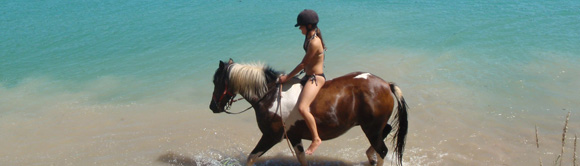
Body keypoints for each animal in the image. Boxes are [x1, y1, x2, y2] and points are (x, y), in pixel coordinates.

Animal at [208, 59, 408, 165]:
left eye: (217, 81)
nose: (213, 107)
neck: (270, 96)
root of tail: (386, 84)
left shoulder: (271, 136)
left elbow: (251, 157)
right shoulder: (293, 135)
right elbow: (301, 158)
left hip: (371, 128)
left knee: (382, 149)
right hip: (373, 127)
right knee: (386, 131)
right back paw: (369, 155)